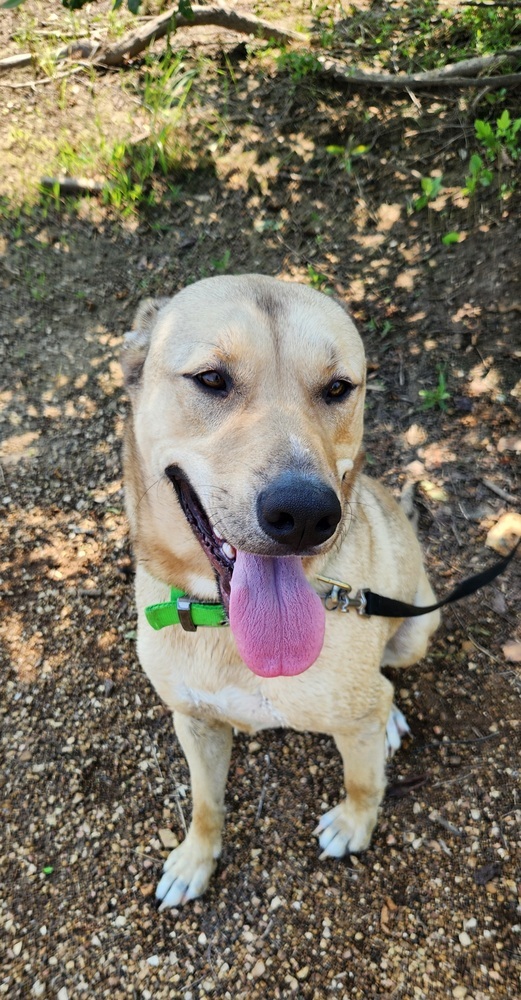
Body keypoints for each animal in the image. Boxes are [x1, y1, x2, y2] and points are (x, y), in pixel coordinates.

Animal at [122, 272, 438, 908]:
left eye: (338, 388)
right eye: (211, 379)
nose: (306, 514)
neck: (227, 631)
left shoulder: (354, 721)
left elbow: (363, 779)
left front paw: (354, 823)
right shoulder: (194, 721)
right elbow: (205, 802)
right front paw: (195, 858)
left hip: (417, 627)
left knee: (389, 679)